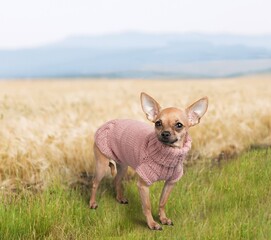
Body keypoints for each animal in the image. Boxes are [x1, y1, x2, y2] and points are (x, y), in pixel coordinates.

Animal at [90, 92, 209, 231]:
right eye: (158, 123)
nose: (165, 133)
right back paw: (92, 203)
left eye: (179, 125)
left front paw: (163, 218)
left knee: (116, 180)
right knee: (95, 183)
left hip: (122, 166)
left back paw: (120, 198)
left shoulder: (170, 183)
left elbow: (162, 202)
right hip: (101, 166)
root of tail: (107, 124)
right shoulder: (143, 185)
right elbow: (147, 206)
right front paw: (152, 224)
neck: (167, 154)